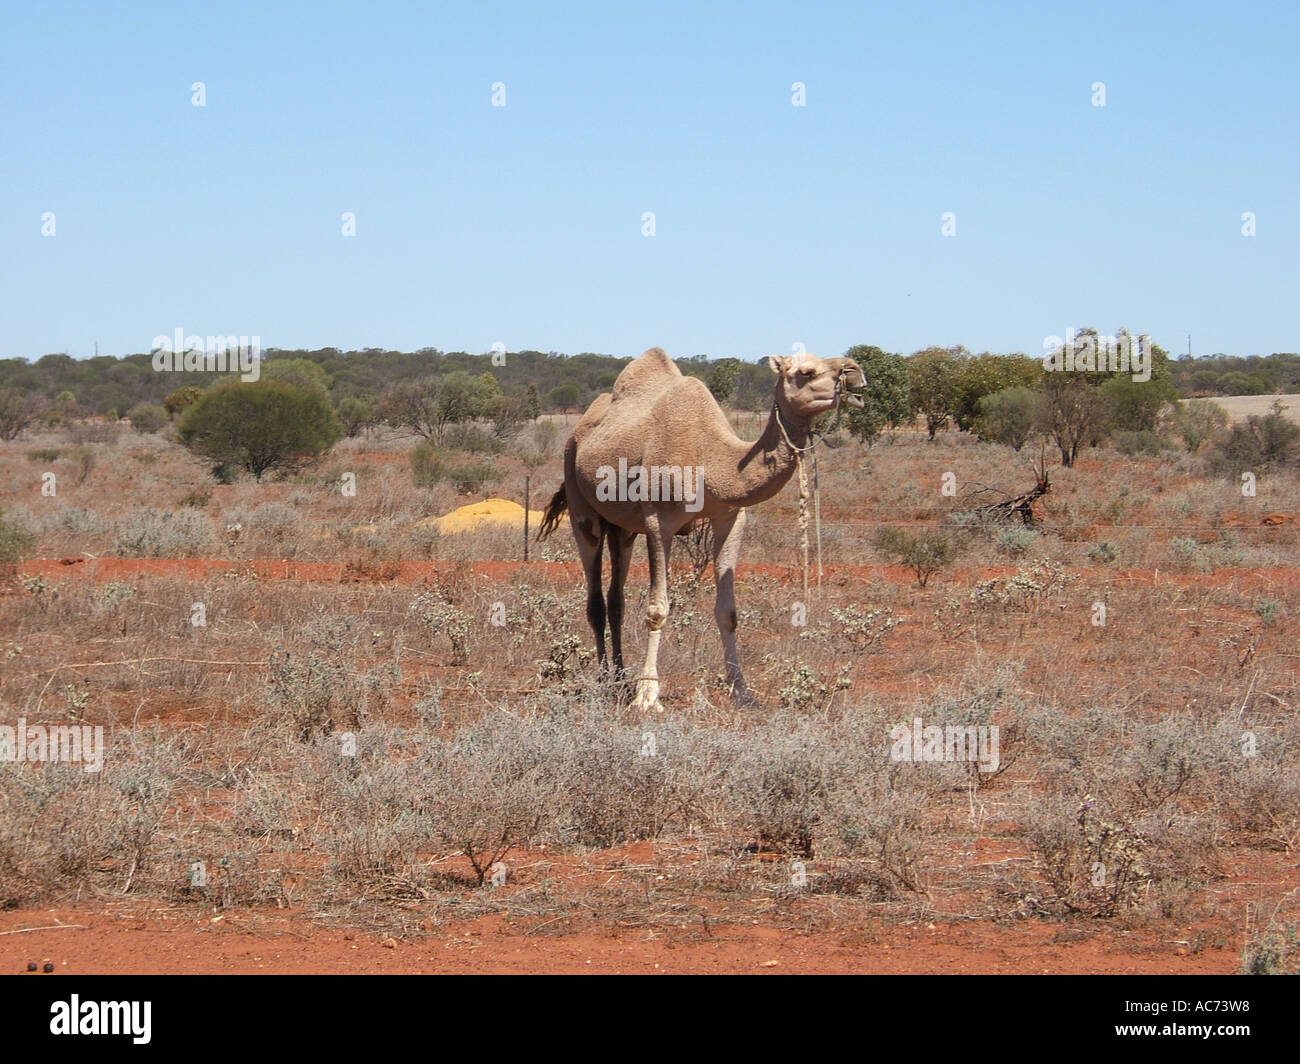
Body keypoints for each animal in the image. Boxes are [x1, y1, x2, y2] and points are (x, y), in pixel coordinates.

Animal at [536, 347, 865, 710]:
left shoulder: (731, 517)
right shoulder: (658, 522)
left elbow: (728, 611)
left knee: (615, 598)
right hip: (580, 501)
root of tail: (579, 431)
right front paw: (648, 695)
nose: (855, 375)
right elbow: (657, 609)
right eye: (806, 372)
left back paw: (620, 678)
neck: (712, 459)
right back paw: (606, 680)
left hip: (622, 528)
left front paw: (742, 691)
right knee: (594, 597)